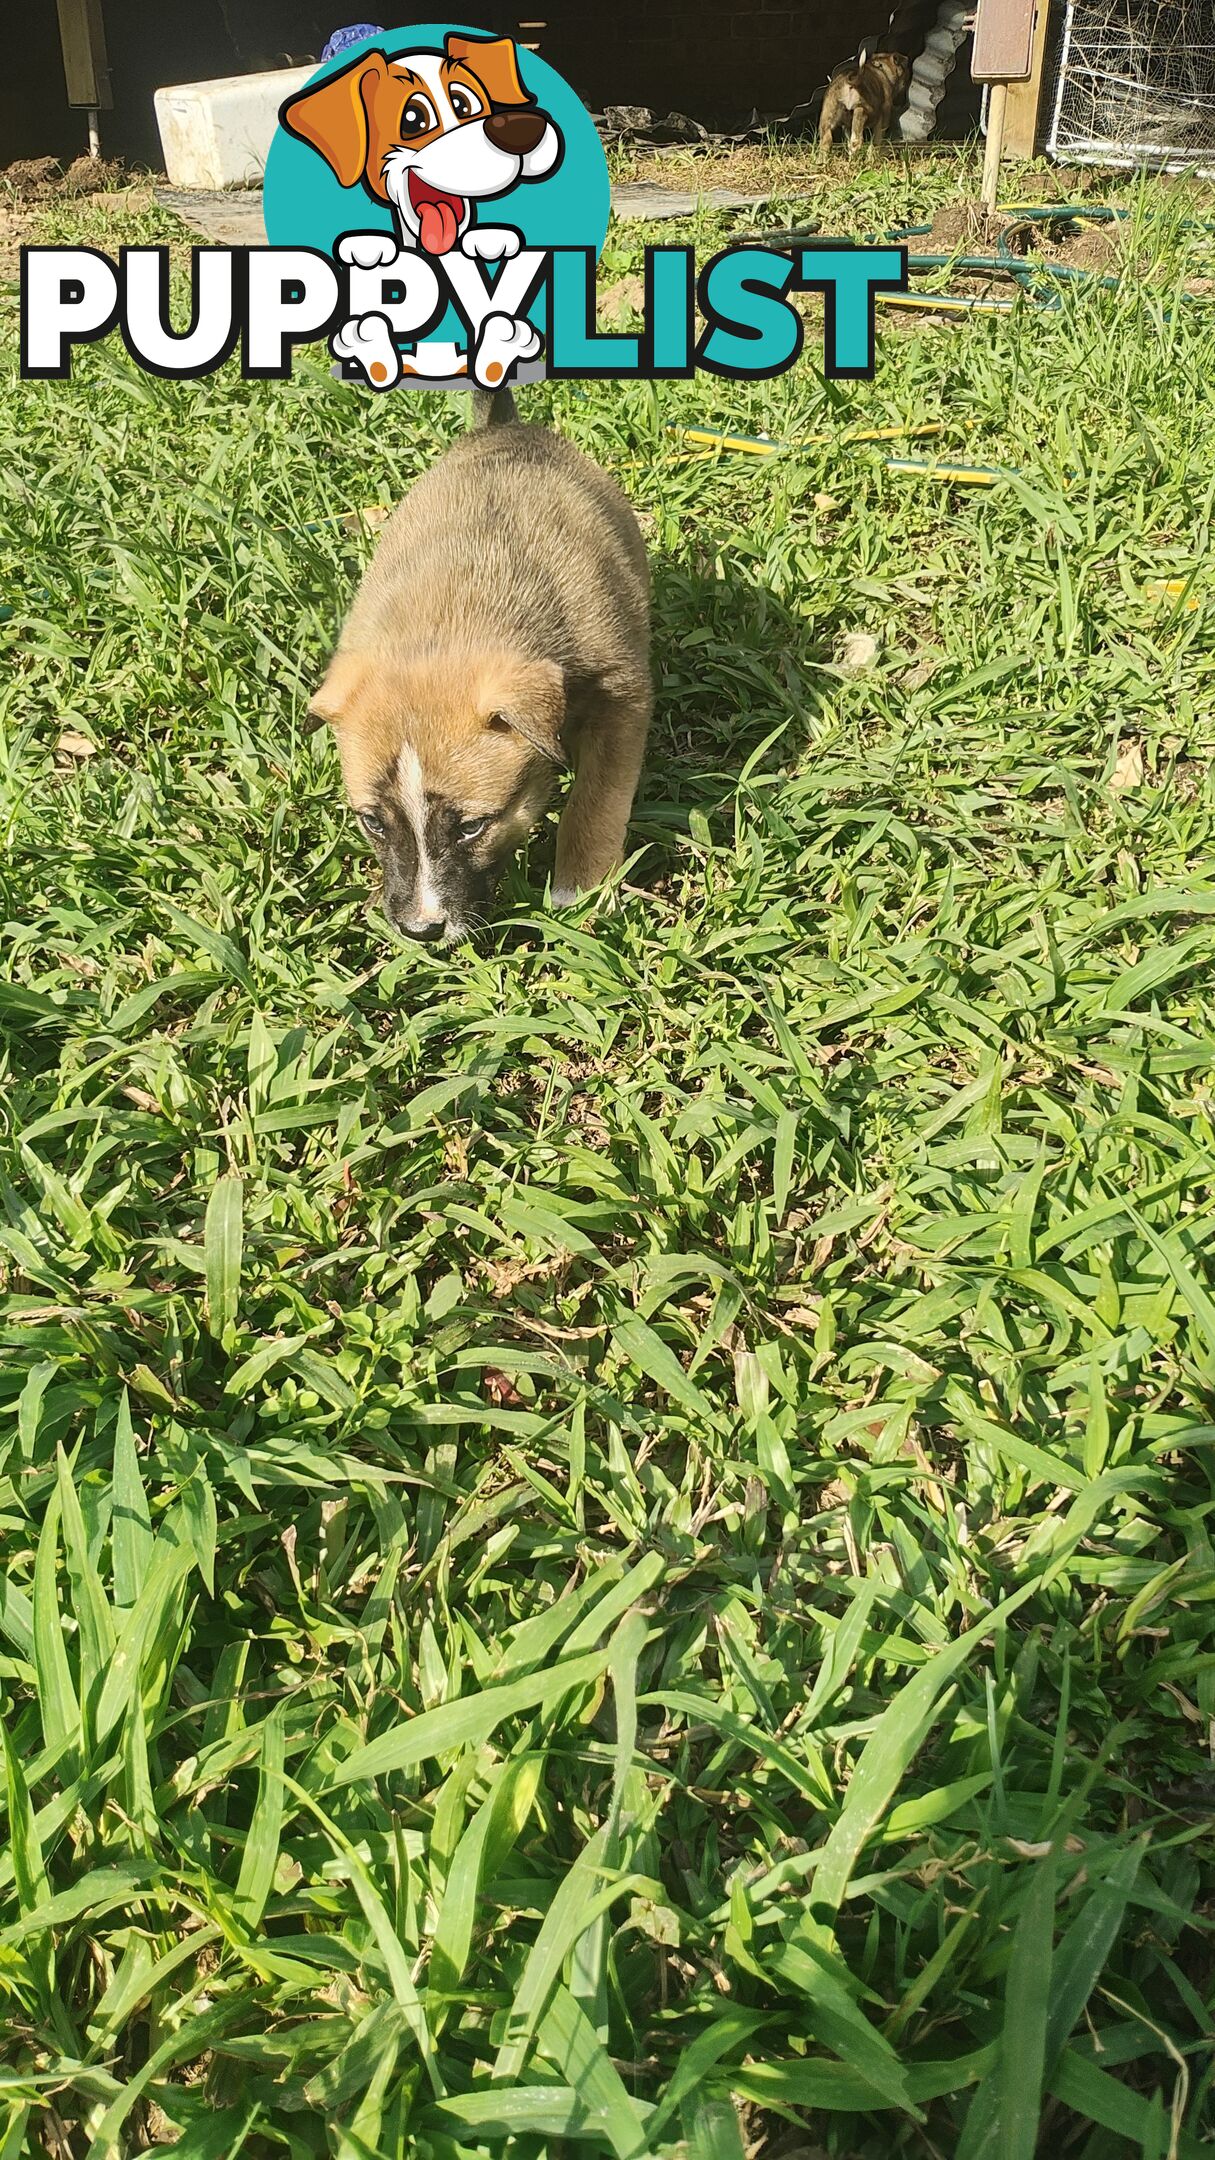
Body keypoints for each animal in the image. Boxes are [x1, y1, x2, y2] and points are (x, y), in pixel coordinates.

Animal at [309, 395, 652, 946]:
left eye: (472, 827)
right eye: (373, 823)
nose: (421, 931)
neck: (451, 621)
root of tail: (505, 427)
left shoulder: (621, 696)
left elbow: (596, 799)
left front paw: (580, 890)